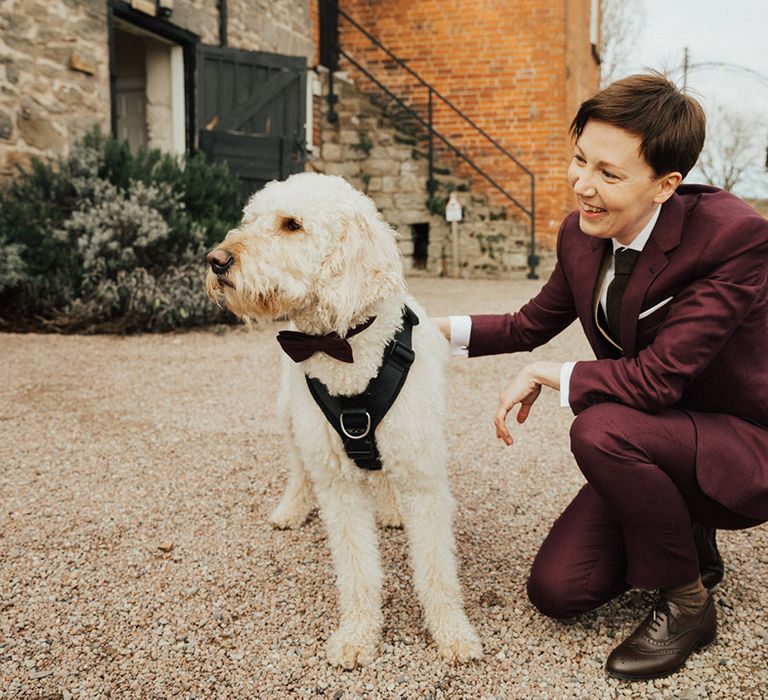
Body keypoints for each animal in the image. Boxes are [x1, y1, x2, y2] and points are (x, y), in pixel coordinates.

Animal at [204, 171, 480, 668]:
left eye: (292, 224)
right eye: (249, 220)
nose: (217, 260)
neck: (345, 346)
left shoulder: (422, 476)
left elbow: (436, 569)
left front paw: (451, 632)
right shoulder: (338, 484)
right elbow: (356, 570)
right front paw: (357, 635)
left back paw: (390, 509)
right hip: (291, 417)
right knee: (298, 469)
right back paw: (291, 509)